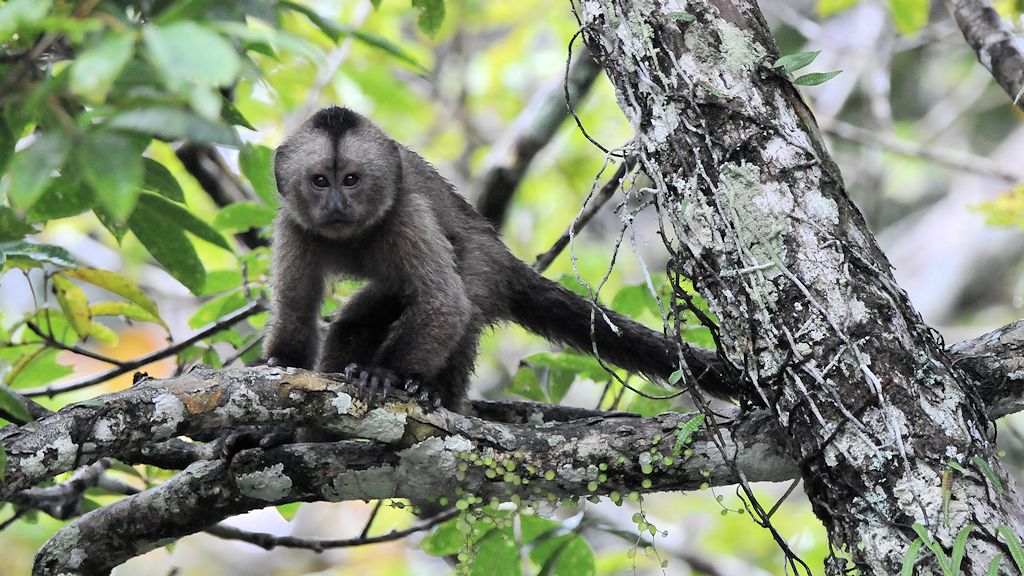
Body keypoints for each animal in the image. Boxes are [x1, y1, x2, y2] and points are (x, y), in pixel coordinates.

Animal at [262, 106, 732, 411]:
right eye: (320, 182)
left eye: (351, 180)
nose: (337, 205)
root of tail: (503, 254)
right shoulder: (293, 226)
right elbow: (296, 311)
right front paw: (280, 363)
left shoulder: (406, 215)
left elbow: (446, 305)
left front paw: (383, 375)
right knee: (359, 319)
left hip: (486, 263)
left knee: (466, 302)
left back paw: (439, 395)